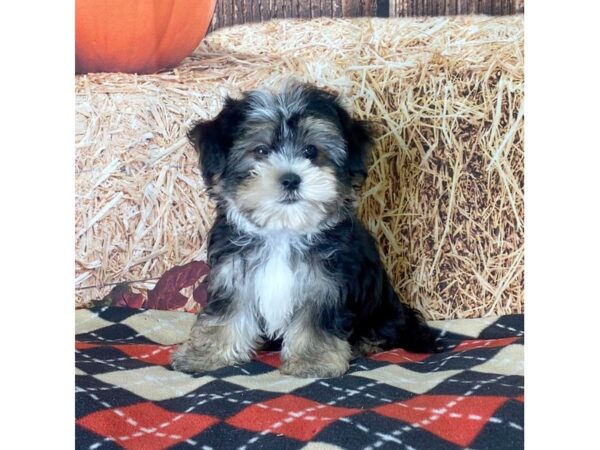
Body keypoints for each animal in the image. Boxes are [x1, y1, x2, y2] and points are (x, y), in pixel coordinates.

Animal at [171, 81, 434, 380]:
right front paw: (205, 354)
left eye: (311, 151)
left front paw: (312, 360)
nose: (290, 179)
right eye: (260, 151)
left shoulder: (325, 284)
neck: (284, 229)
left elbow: (315, 322)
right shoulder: (233, 274)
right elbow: (225, 314)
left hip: (384, 312)